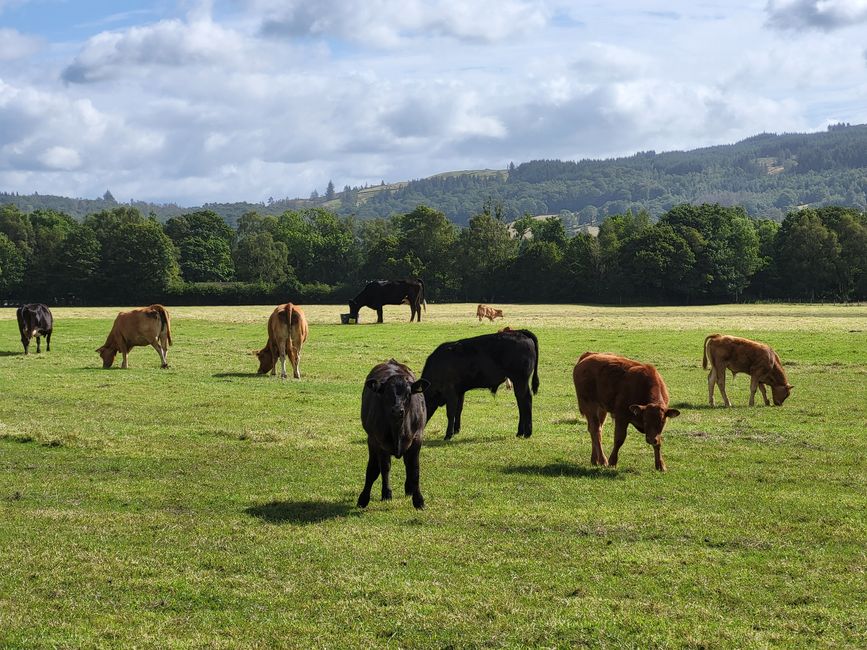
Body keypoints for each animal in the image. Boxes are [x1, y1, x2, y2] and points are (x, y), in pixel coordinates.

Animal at [358, 356, 428, 508]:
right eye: (386, 393)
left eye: (408, 393)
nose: (397, 411)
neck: (397, 429)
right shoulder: (375, 440)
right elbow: (375, 469)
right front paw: (364, 498)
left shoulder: (417, 439)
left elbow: (414, 470)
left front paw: (418, 500)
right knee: (385, 467)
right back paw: (386, 493)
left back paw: (409, 489)